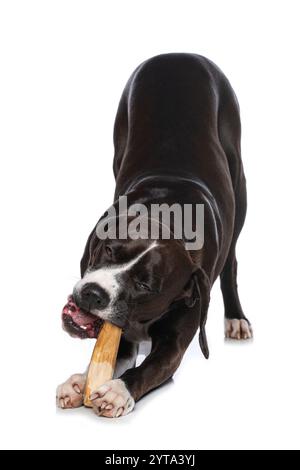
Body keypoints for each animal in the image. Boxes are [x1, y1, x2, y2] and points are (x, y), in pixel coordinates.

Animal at [55, 54, 251, 418]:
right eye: (108, 251)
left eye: (146, 285)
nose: (93, 293)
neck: (169, 219)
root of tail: (180, 54)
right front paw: (80, 381)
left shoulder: (180, 331)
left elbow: (151, 367)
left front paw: (118, 390)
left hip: (239, 181)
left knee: (231, 262)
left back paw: (236, 318)